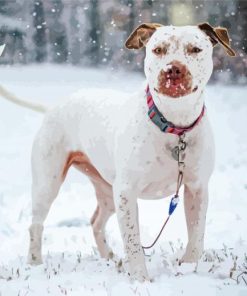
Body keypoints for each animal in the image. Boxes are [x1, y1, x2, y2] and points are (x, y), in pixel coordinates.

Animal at [1, 22, 235, 280]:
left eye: (195, 49)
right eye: (158, 50)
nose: (173, 69)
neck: (174, 125)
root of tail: (53, 108)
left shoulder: (197, 188)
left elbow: (196, 235)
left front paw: (189, 269)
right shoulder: (126, 192)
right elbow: (133, 241)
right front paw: (141, 280)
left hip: (106, 190)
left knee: (96, 222)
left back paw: (109, 258)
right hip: (48, 182)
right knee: (36, 224)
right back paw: (34, 263)